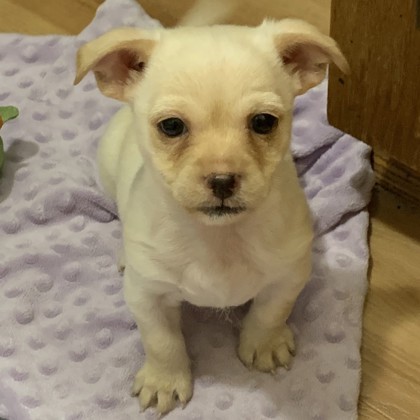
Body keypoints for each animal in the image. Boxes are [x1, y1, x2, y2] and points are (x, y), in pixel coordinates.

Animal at [74, 0, 348, 414]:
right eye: (172, 127)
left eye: (263, 122)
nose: (222, 180)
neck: (219, 239)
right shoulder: (147, 297)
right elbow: (162, 341)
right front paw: (165, 379)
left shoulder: (288, 275)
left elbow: (269, 312)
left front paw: (263, 345)